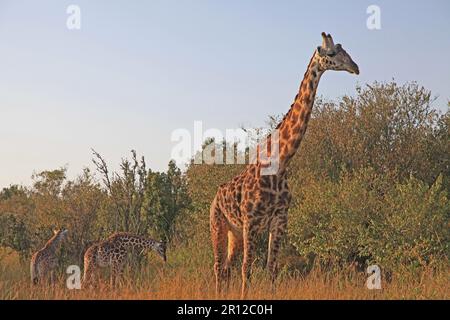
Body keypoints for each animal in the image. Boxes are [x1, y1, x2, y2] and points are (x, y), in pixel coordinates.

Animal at [209, 32, 360, 298]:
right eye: (332, 53)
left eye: (346, 51)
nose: (355, 67)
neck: (280, 162)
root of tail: (215, 197)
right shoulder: (251, 221)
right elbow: (248, 268)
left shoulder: (279, 219)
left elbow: (272, 267)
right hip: (217, 224)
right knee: (219, 267)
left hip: (234, 233)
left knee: (226, 267)